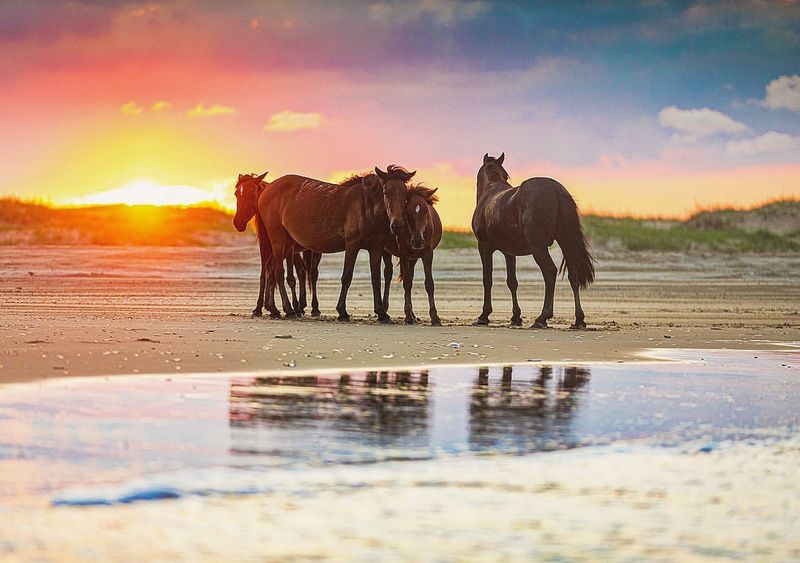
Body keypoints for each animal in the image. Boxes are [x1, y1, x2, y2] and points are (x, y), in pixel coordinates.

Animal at [231, 173, 318, 318]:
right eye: (236, 193)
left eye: (251, 192)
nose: (238, 222)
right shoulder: (265, 246)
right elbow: (266, 273)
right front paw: (262, 308)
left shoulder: (283, 248)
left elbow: (278, 274)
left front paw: (279, 308)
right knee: (301, 270)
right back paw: (300, 306)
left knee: (312, 273)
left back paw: (313, 308)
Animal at [258, 164, 418, 322]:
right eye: (386, 192)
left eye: (405, 194)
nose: (397, 226)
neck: (366, 207)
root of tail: (266, 190)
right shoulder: (352, 245)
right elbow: (346, 277)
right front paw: (342, 311)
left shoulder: (376, 249)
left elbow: (376, 279)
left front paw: (381, 313)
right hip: (277, 238)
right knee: (278, 272)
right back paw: (288, 309)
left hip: (288, 243)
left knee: (272, 269)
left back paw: (277, 309)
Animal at [382, 184, 444, 326]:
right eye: (408, 212)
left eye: (426, 211)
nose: (417, 241)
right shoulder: (404, 253)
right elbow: (407, 283)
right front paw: (407, 316)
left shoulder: (427, 253)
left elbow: (429, 283)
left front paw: (435, 317)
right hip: (386, 251)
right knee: (388, 273)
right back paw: (385, 308)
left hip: (413, 258)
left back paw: (414, 315)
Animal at [468, 154, 592, 330]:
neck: (491, 190)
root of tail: (556, 190)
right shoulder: (509, 252)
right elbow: (512, 282)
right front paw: (515, 317)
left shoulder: (484, 247)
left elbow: (487, 280)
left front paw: (484, 316)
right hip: (565, 241)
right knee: (573, 274)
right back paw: (578, 319)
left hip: (538, 247)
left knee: (549, 272)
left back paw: (542, 317)